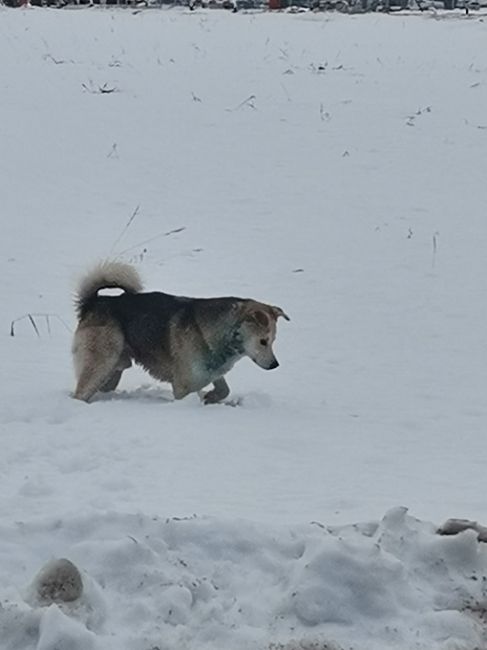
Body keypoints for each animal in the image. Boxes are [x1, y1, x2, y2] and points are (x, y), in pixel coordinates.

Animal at [72, 260, 290, 402]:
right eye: (263, 341)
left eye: (273, 341)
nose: (275, 365)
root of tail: (94, 302)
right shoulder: (183, 385)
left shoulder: (211, 372)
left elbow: (224, 390)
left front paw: (210, 397)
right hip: (102, 364)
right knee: (80, 394)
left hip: (113, 369)